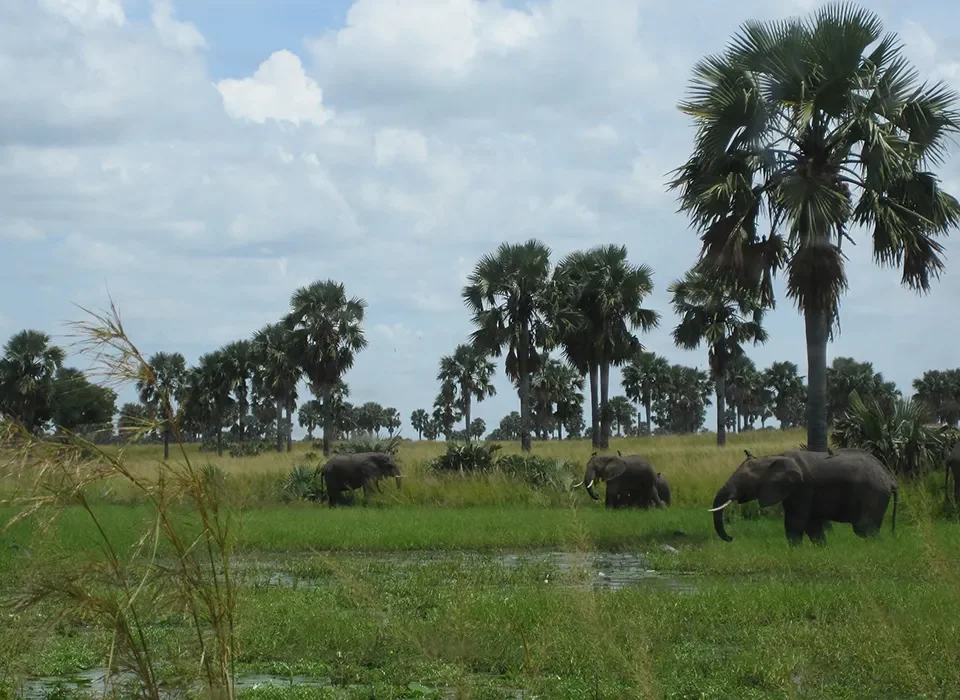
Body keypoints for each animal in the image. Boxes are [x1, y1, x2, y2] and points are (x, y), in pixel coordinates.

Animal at [709, 448, 897, 545]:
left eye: (745, 481)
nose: (731, 538)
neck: (773, 457)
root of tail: (890, 479)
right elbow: (812, 525)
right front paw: (821, 549)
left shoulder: (802, 487)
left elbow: (795, 522)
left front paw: (794, 551)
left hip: (873, 493)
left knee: (864, 528)